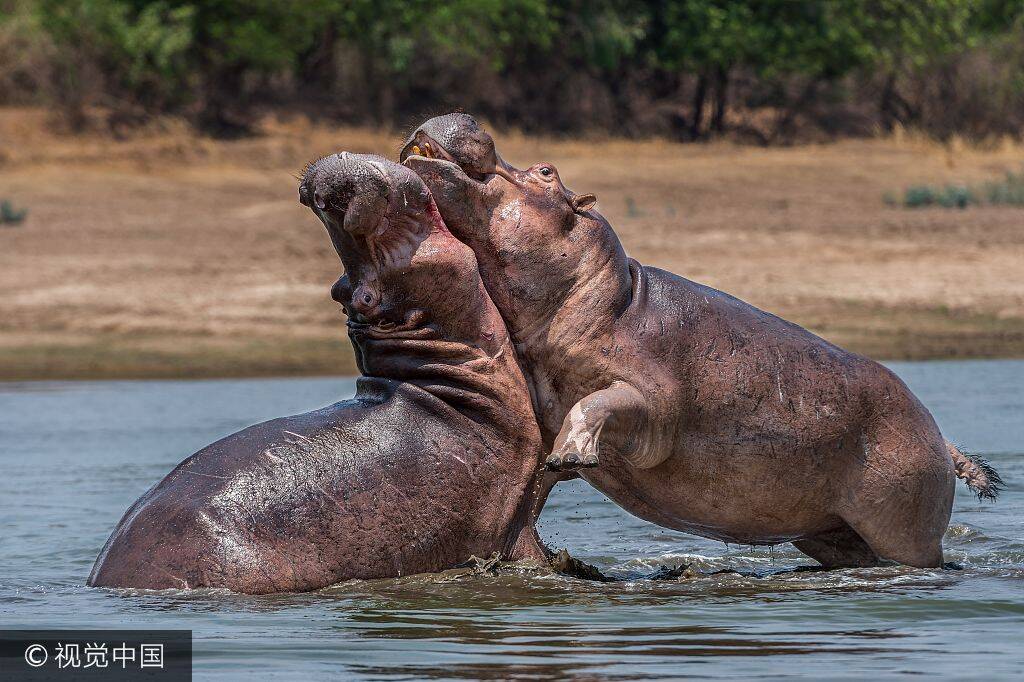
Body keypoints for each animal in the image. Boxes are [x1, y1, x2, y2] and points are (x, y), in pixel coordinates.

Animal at [397, 112, 999, 569]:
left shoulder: (652, 400)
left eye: (547, 170)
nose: (463, 114)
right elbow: (542, 465)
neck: (605, 291)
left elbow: (600, 402)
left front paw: (571, 454)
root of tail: (941, 437)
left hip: (905, 528)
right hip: (832, 531)